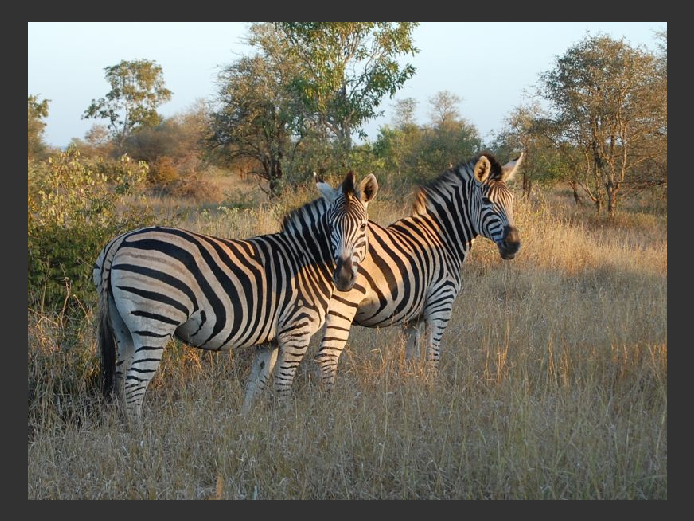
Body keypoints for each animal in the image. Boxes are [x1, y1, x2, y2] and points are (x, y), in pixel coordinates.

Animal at [93, 171, 378, 419]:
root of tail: (120, 241)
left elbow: (256, 385)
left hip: (123, 327)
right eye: (331, 227)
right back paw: (139, 435)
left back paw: (122, 428)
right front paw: (285, 423)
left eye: (363, 226)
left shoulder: (270, 340)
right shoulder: (296, 332)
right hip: (154, 323)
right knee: (134, 384)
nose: (343, 278)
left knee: (120, 377)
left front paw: (248, 424)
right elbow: (282, 386)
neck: (306, 258)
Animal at [309, 151, 523, 389]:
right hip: (342, 305)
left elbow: (410, 358)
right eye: (486, 201)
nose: (513, 245)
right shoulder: (441, 304)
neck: (444, 236)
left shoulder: (411, 317)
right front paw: (431, 389)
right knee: (326, 357)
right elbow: (432, 357)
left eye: (512, 201)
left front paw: (410, 388)